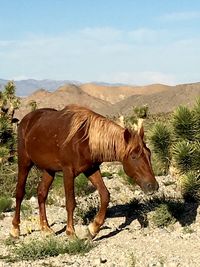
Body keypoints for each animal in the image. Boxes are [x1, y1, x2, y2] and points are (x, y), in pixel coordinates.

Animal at [10, 104, 159, 239]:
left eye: (149, 154)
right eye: (134, 156)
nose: (153, 186)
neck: (85, 140)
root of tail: (27, 119)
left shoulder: (91, 169)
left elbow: (105, 195)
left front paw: (93, 229)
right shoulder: (68, 172)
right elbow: (70, 202)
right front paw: (71, 232)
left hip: (49, 170)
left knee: (41, 193)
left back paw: (45, 228)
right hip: (24, 162)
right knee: (20, 193)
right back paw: (15, 229)